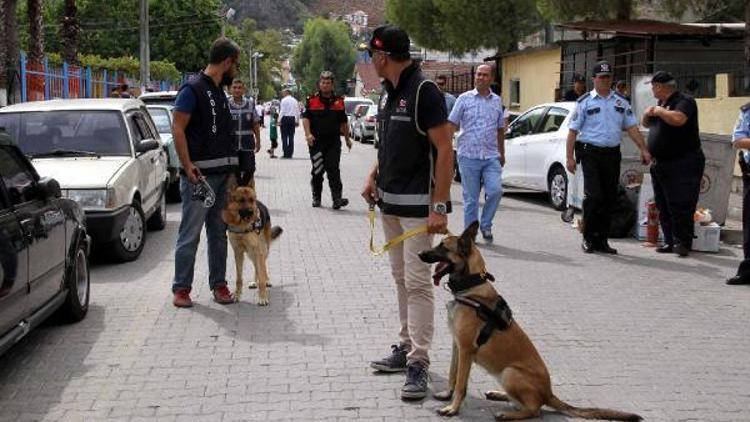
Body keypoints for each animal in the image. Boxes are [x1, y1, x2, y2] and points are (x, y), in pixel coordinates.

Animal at [420, 223, 644, 420]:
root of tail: (549, 393)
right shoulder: (457, 346)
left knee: (534, 410)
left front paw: (453, 408)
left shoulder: (466, 350)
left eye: (443, 248)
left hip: (510, 373)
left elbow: (461, 384)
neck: (471, 289)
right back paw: (499, 395)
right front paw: (447, 395)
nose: (420, 254)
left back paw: (507, 414)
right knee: (524, 403)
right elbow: (452, 374)